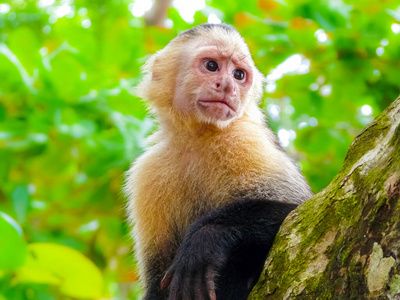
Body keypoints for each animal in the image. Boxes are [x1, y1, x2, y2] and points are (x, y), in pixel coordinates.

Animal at [125, 24, 312, 300]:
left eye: (238, 74)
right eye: (212, 66)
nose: (227, 86)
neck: (197, 137)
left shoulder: (244, 139)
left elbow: (296, 210)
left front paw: (205, 240)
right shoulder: (147, 172)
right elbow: (157, 280)